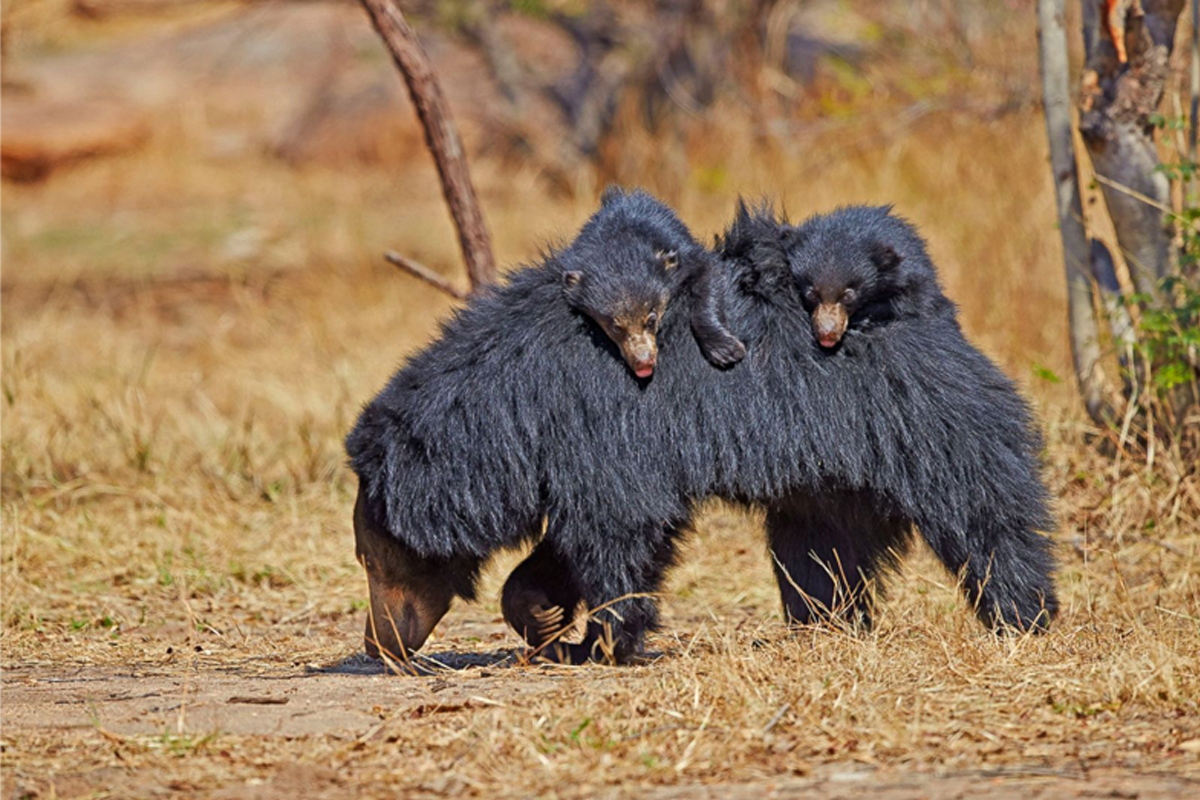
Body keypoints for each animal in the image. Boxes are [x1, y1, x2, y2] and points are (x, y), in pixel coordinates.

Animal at [348, 196, 1060, 666]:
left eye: (372, 558)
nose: (378, 644)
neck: (511, 404)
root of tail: (941, 318)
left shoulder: (599, 422)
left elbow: (620, 531)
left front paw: (600, 645)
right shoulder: (576, 448)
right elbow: (583, 535)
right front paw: (549, 622)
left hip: (928, 422)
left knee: (987, 521)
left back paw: (1024, 618)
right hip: (834, 476)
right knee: (819, 553)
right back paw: (824, 626)